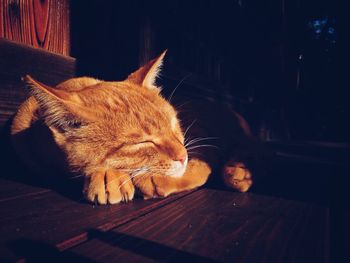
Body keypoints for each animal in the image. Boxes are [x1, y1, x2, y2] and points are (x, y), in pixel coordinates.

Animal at [10, 50, 252, 205]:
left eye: (174, 126)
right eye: (143, 142)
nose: (182, 156)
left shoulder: (202, 140)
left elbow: (197, 167)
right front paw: (110, 175)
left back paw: (239, 171)